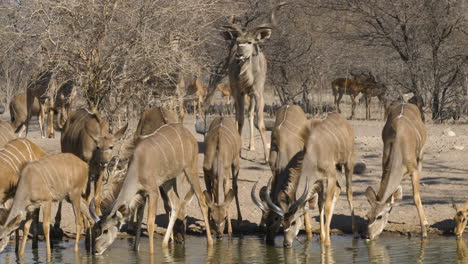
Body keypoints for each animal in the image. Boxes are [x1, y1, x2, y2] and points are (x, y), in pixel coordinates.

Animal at [92, 124, 213, 256]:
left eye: (105, 230)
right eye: (96, 229)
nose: (95, 250)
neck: (138, 167)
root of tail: (189, 134)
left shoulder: (153, 192)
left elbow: (150, 223)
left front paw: (151, 253)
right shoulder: (142, 194)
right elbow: (139, 220)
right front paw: (135, 250)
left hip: (190, 169)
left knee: (201, 200)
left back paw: (210, 242)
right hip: (167, 182)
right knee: (176, 204)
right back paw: (164, 244)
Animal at [221, 3, 284, 162]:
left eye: (250, 42)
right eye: (238, 42)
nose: (239, 54)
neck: (247, 77)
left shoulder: (258, 93)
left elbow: (260, 122)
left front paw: (266, 157)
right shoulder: (238, 92)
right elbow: (240, 120)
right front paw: (238, 152)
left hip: (251, 96)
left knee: (250, 114)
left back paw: (252, 146)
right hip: (238, 93)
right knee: (239, 115)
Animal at [366, 102, 428, 239]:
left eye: (379, 217)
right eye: (367, 216)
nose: (368, 236)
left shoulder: (414, 170)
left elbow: (416, 198)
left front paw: (424, 232)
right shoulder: (385, 168)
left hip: (421, 154)